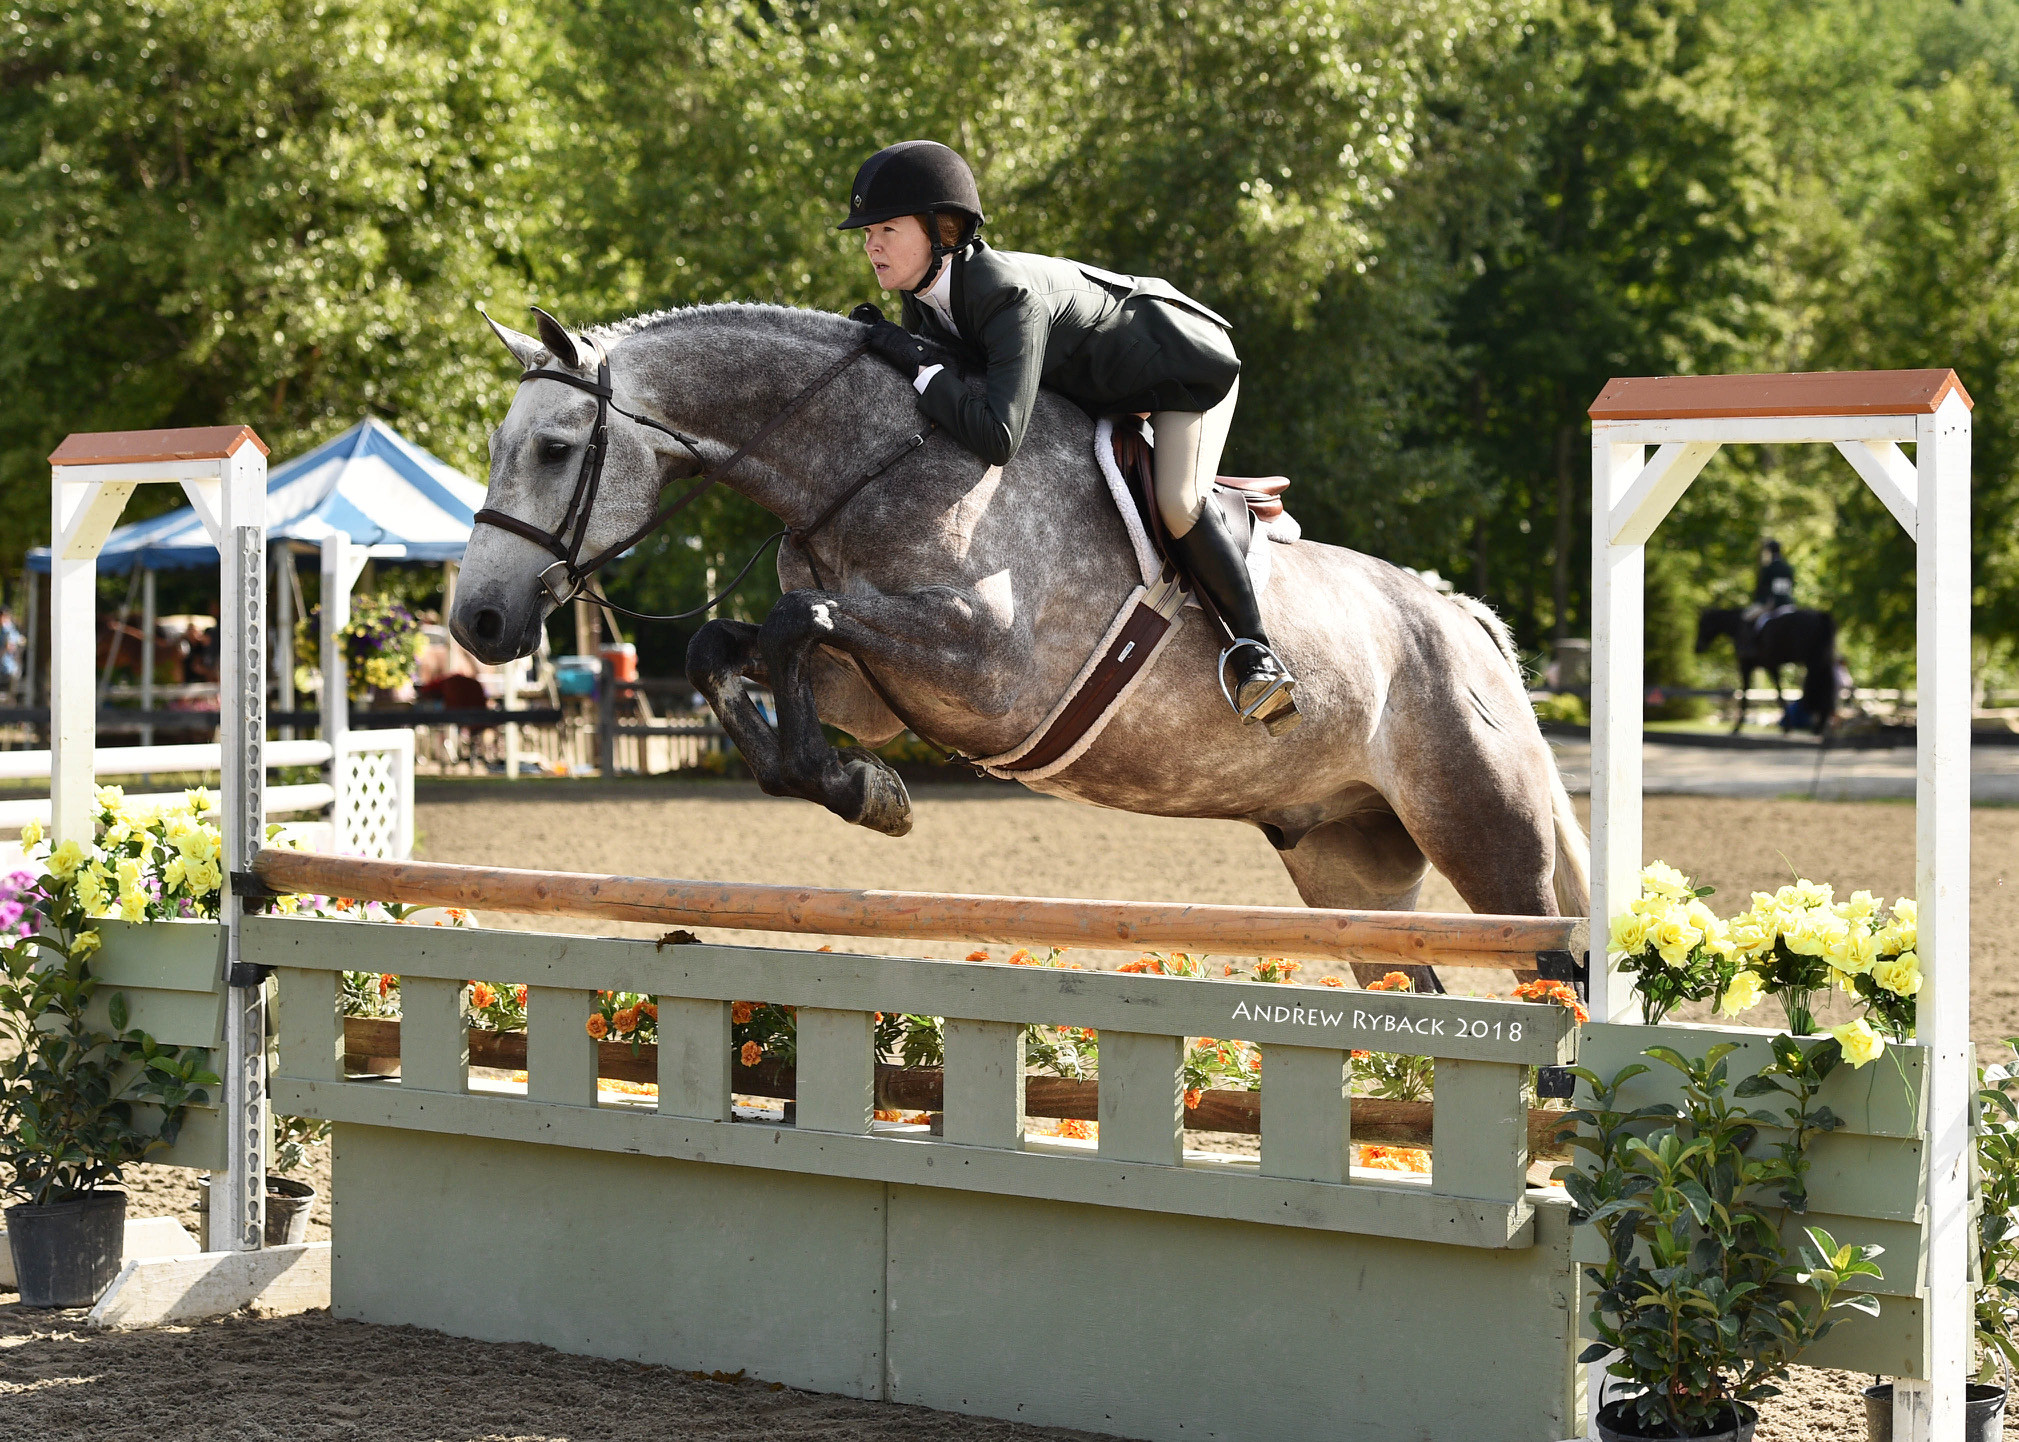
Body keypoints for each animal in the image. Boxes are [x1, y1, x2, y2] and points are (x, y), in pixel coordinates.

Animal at [449, 304, 1589, 989]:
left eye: (553, 448)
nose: (479, 623)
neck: (866, 462)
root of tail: (1465, 622)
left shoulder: (991, 675)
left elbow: (789, 622)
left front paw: (864, 791)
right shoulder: (870, 690)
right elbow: (729, 651)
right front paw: (859, 786)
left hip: (1489, 839)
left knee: (1555, 977)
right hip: (1348, 862)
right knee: (1411, 981)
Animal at [1694, 606, 1838, 735]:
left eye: (1702, 624)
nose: (1697, 648)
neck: (1737, 626)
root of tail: (1821, 615)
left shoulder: (1750, 666)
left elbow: (1747, 694)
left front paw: (1737, 727)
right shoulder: (1771, 666)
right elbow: (1779, 693)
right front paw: (1787, 726)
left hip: (1813, 660)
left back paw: (1818, 726)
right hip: (1824, 660)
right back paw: (1820, 726)